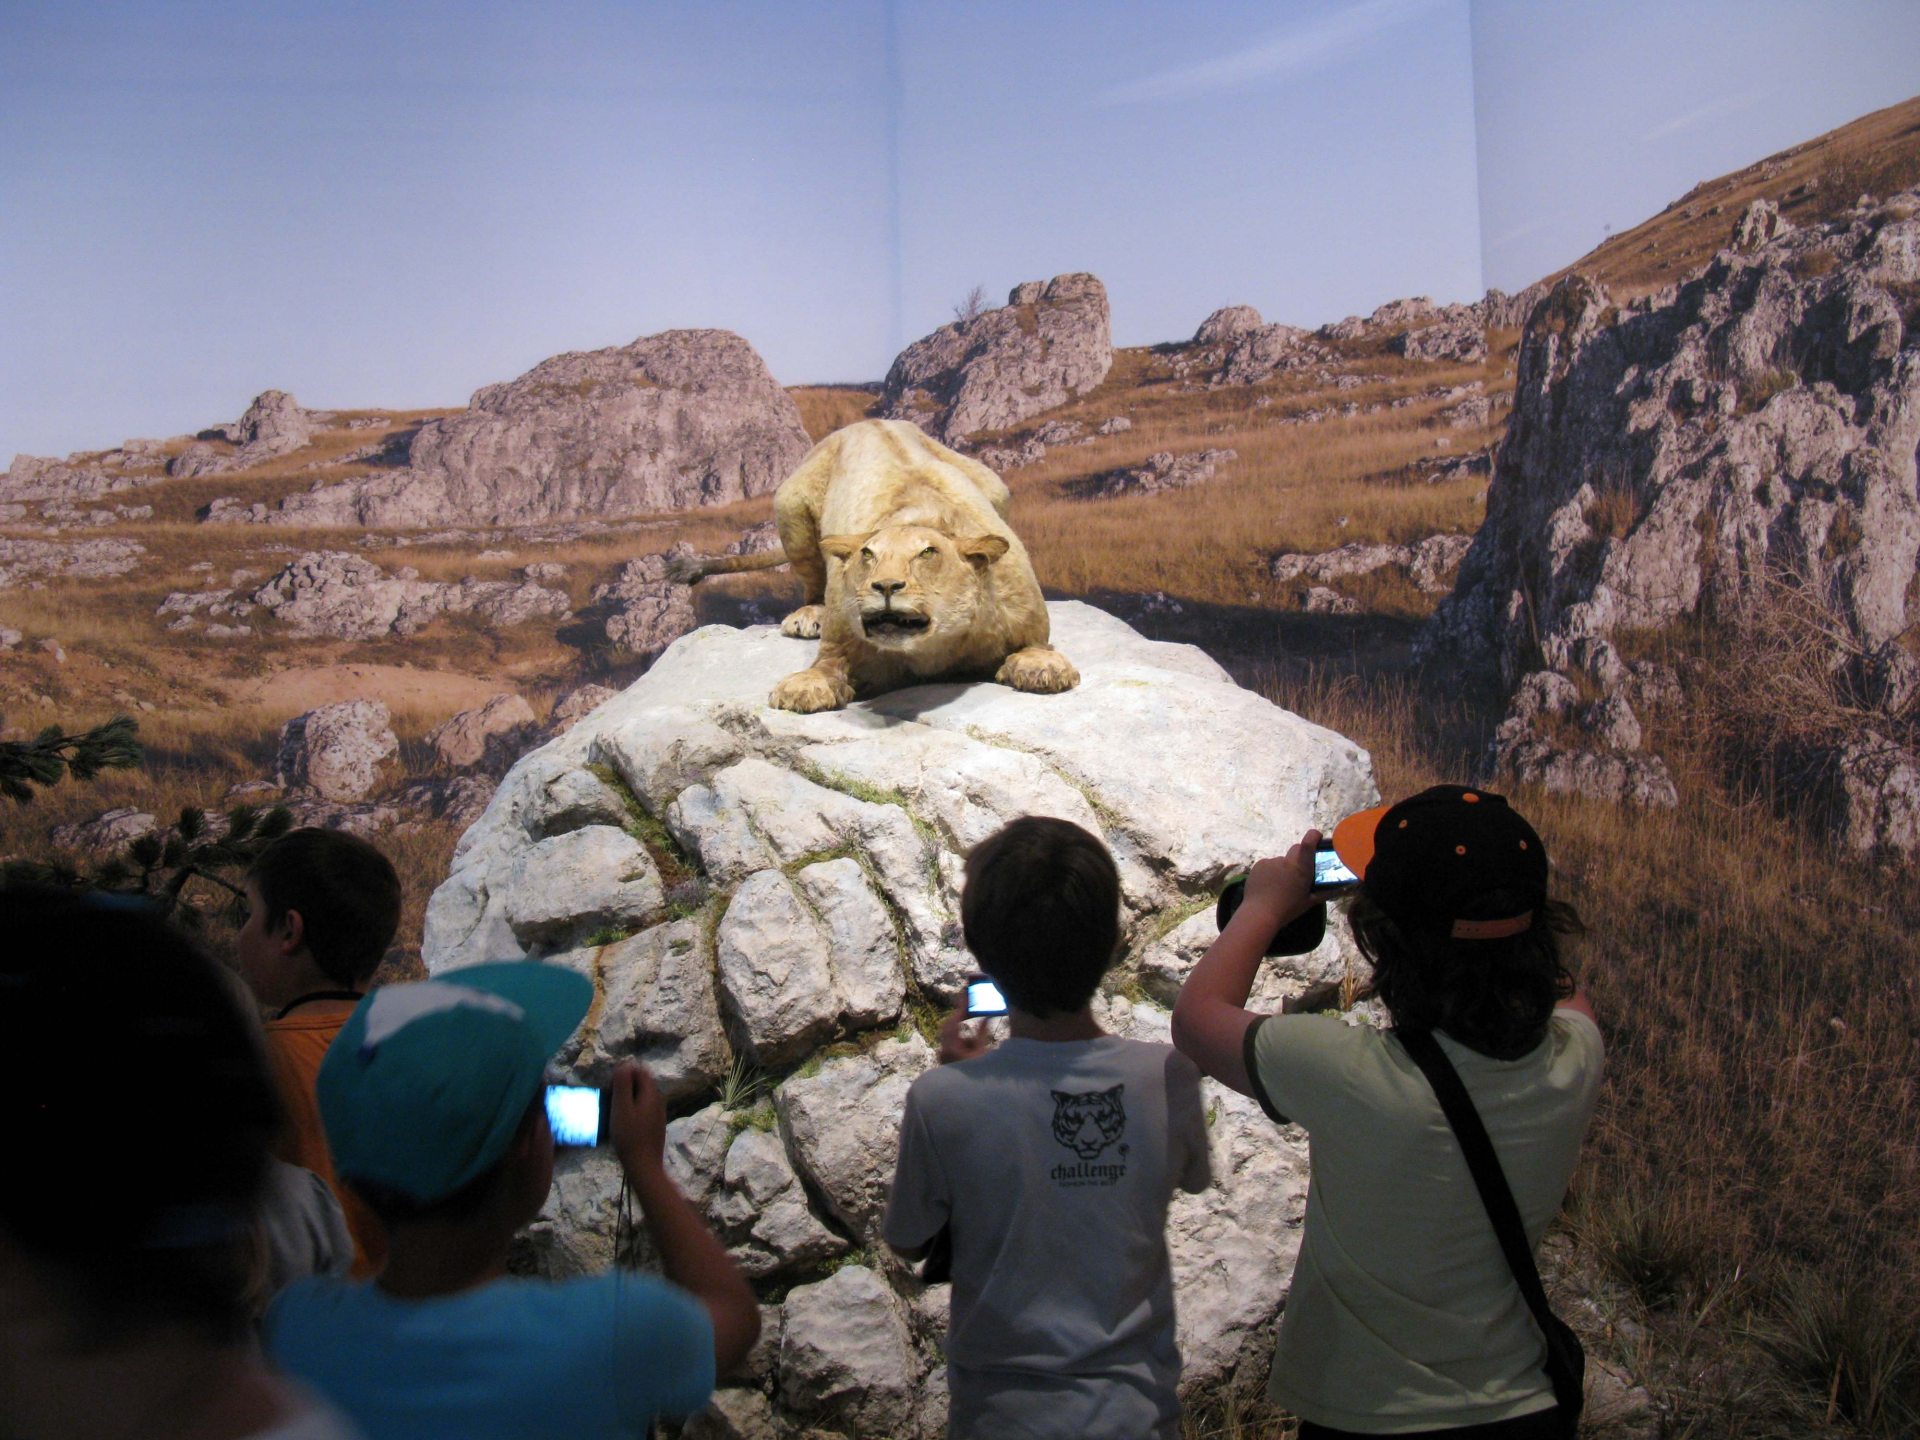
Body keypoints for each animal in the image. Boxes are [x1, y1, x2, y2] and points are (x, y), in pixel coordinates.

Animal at [672, 414, 1082, 714]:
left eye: (927, 553)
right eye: (868, 555)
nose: (885, 586)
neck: (934, 650)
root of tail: (867, 421)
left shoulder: (1027, 613)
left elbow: (1037, 644)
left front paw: (1042, 668)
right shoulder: (842, 631)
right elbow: (827, 662)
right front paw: (804, 687)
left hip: (997, 485)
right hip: (790, 506)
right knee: (810, 577)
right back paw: (807, 616)